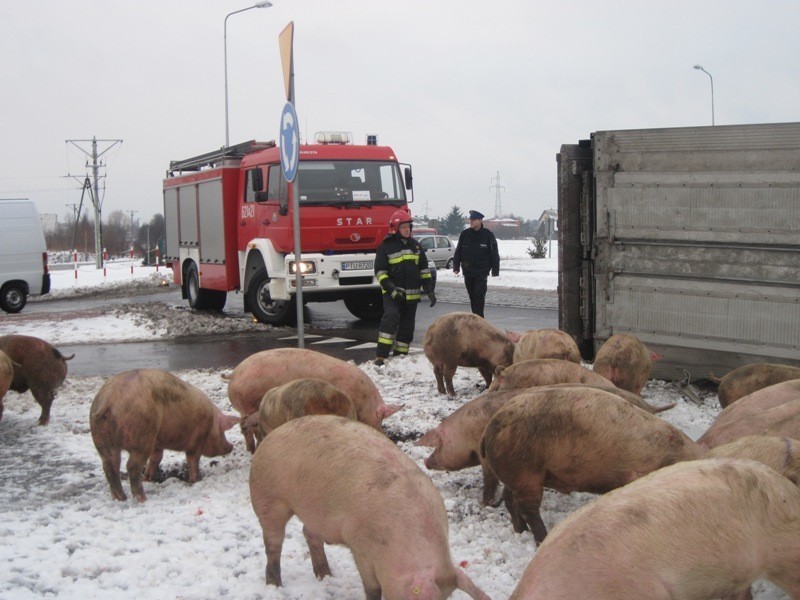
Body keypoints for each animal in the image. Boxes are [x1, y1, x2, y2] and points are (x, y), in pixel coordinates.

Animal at [90, 370, 241, 502]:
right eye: (222, 431)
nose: (231, 446)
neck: (211, 423)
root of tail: (108, 402)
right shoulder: (198, 440)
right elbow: (193, 459)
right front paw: (197, 480)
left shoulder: (157, 443)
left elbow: (156, 458)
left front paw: (148, 478)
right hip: (142, 437)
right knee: (132, 466)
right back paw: (142, 499)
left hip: (102, 440)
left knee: (109, 466)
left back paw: (120, 498)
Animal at [223, 344, 400, 452]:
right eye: (380, 418)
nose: (383, 434)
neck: (363, 400)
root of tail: (234, 373)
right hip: (249, 403)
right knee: (249, 427)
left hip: (244, 408)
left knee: (244, 425)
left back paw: (251, 449)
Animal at [248, 418, 488, 600]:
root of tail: (271, 436)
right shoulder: (359, 544)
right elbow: (373, 587)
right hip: (267, 497)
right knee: (273, 543)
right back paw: (275, 585)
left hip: (315, 513)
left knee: (308, 532)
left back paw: (325, 575)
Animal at [482, 384, 700, 544]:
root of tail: (491, 428)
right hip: (527, 472)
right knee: (528, 508)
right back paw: (542, 538)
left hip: (516, 474)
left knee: (509, 498)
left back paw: (521, 531)